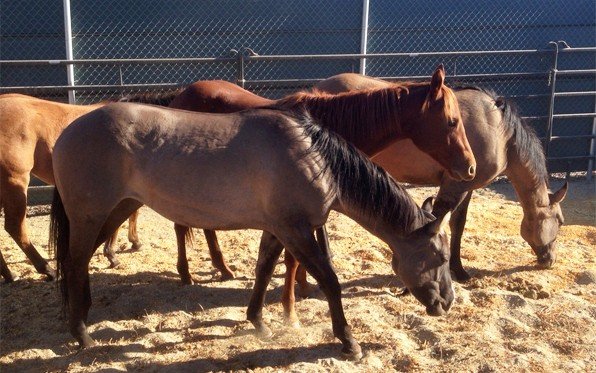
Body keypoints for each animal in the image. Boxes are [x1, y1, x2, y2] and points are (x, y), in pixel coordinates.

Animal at [50, 101, 456, 358]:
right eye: (440, 257)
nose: (448, 302)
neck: (313, 157)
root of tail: (68, 131)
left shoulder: (277, 228)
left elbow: (263, 270)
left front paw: (258, 322)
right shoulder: (295, 230)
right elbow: (329, 280)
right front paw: (349, 341)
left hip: (116, 209)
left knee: (80, 263)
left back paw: (83, 317)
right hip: (90, 215)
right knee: (73, 263)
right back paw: (81, 334)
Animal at [314, 73, 564, 280]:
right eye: (560, 221)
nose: (550, 260)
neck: (499, 131)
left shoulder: (467, 186)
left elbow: (458, 224)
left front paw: (458, 269)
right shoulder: (453, 186)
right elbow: (439, 221)